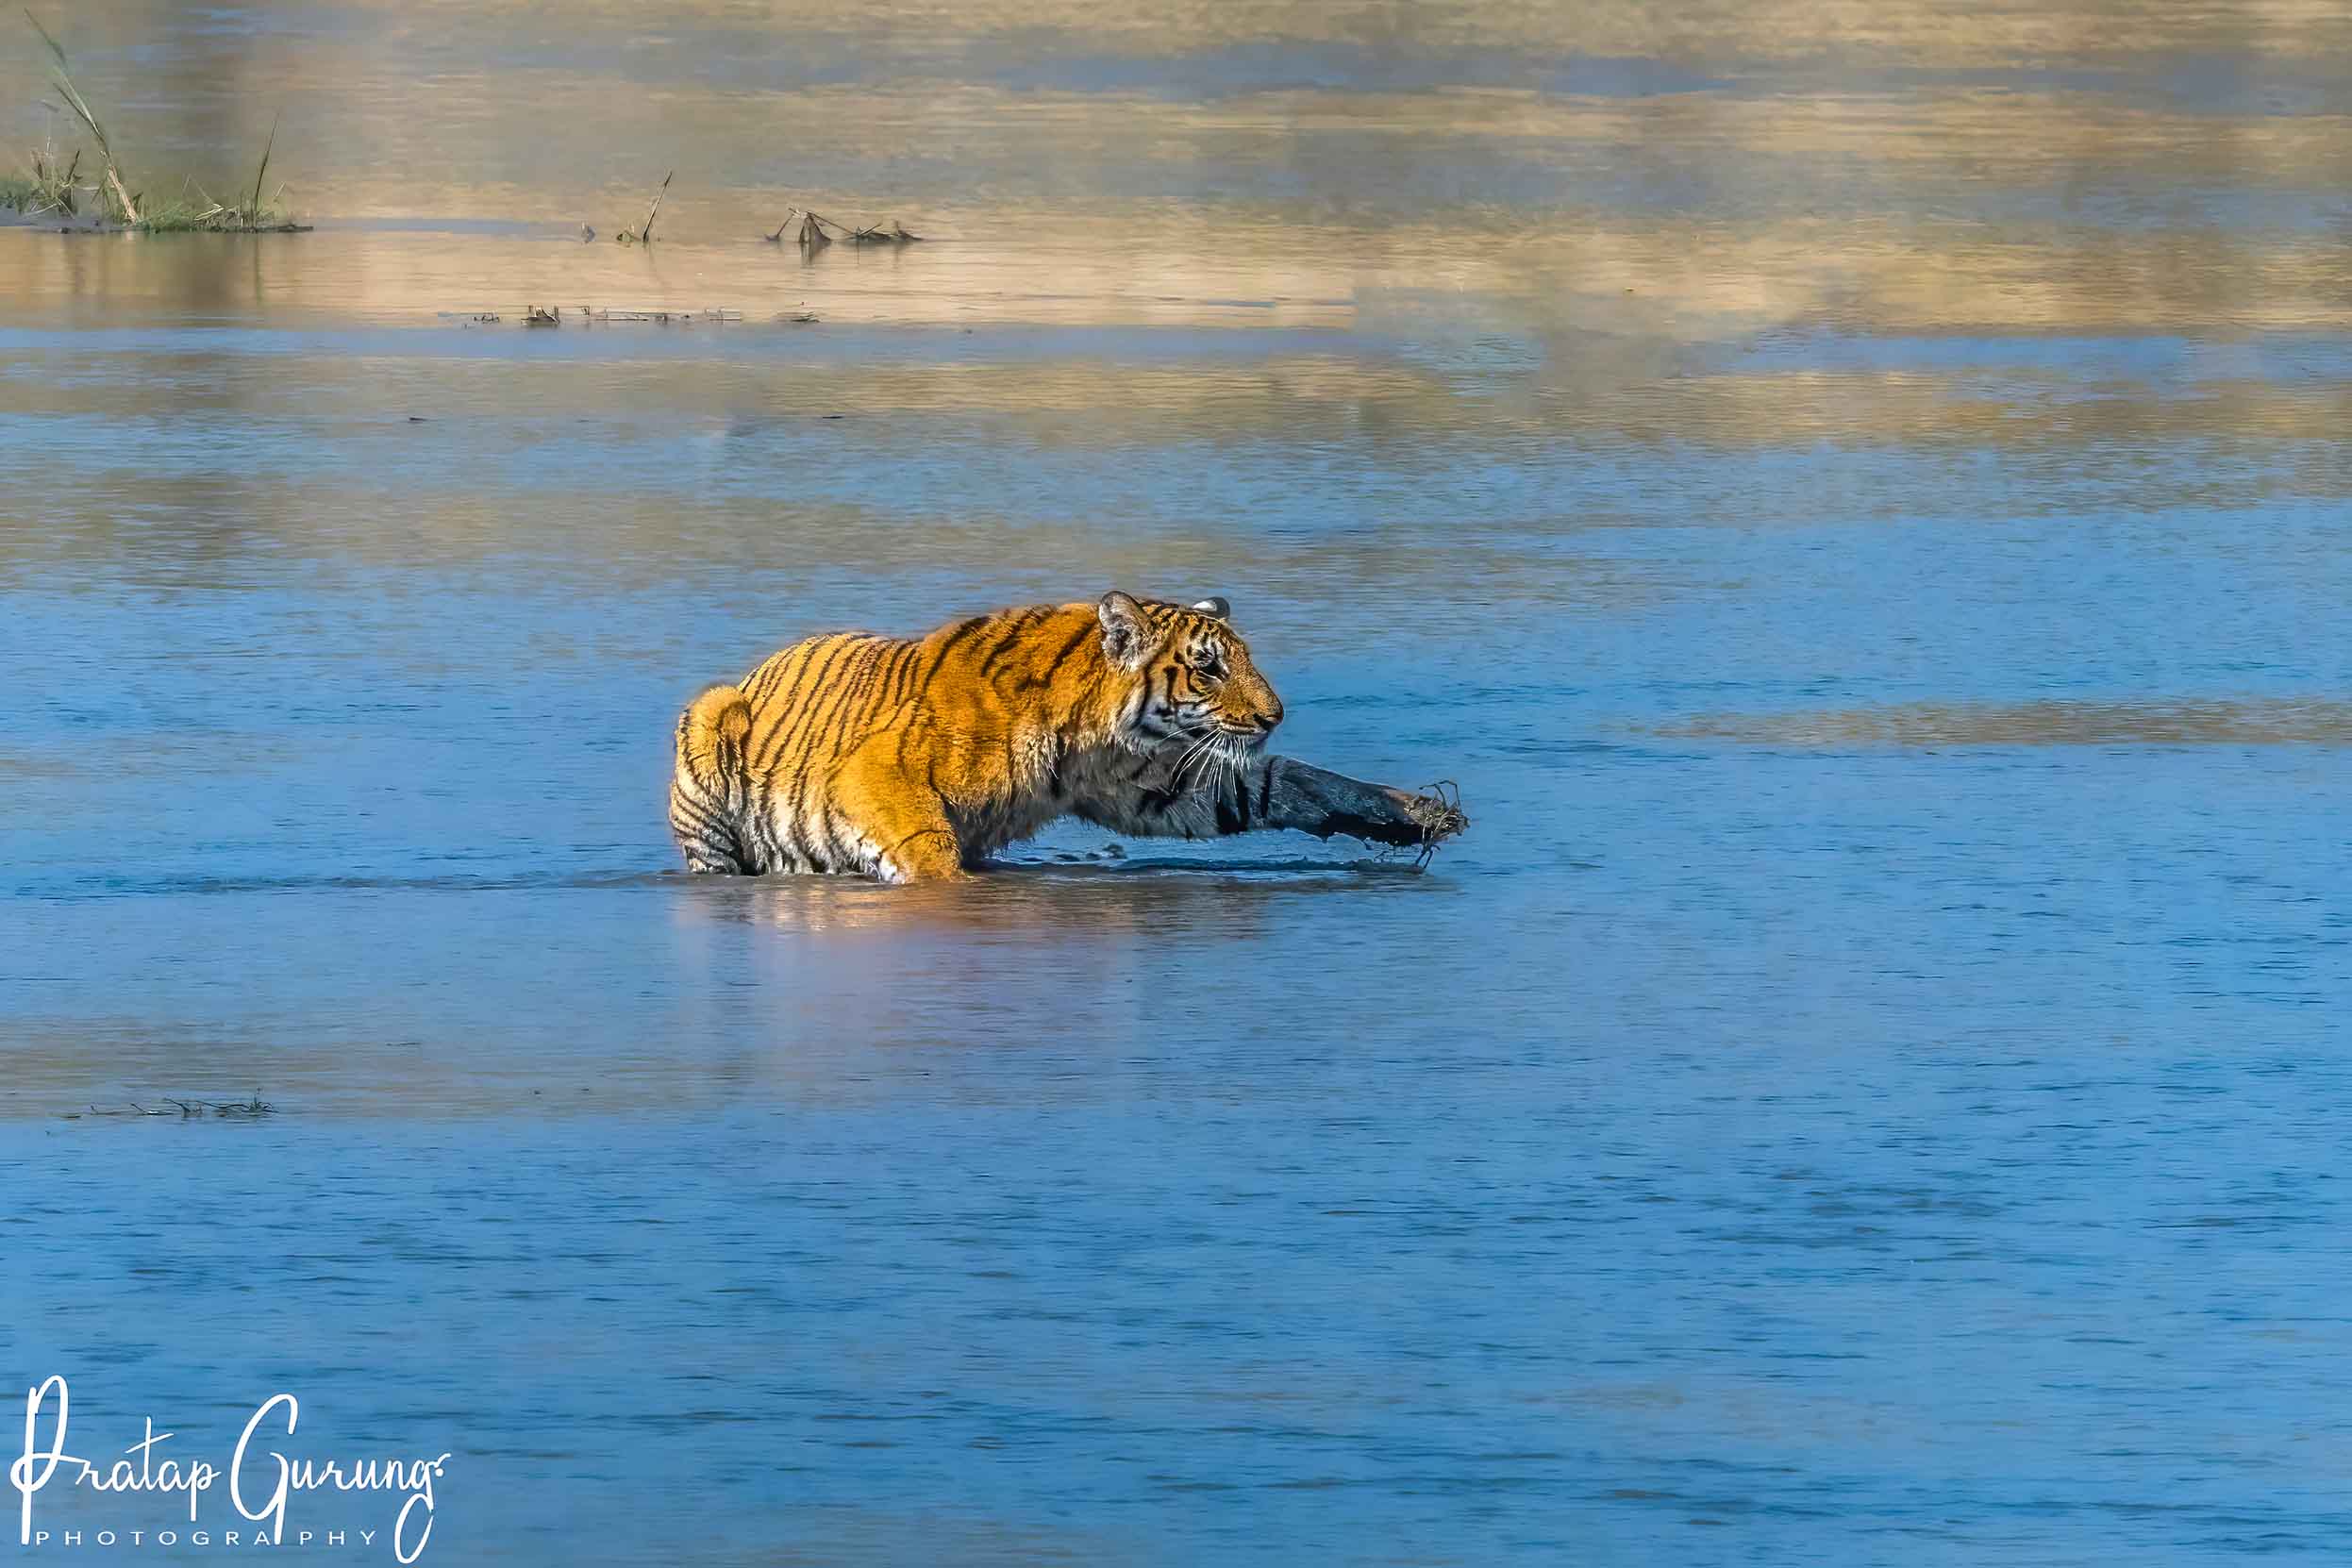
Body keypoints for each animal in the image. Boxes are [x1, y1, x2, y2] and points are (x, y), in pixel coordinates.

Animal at [668, 591, 1468, 884]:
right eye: (1209, 668)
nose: (1273, 717)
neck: (1089, 733)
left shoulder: (1147, 785)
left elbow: (1289, 783)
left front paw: (1413, 812)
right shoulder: (878, 768)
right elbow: (925, 845)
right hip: (711, 724)